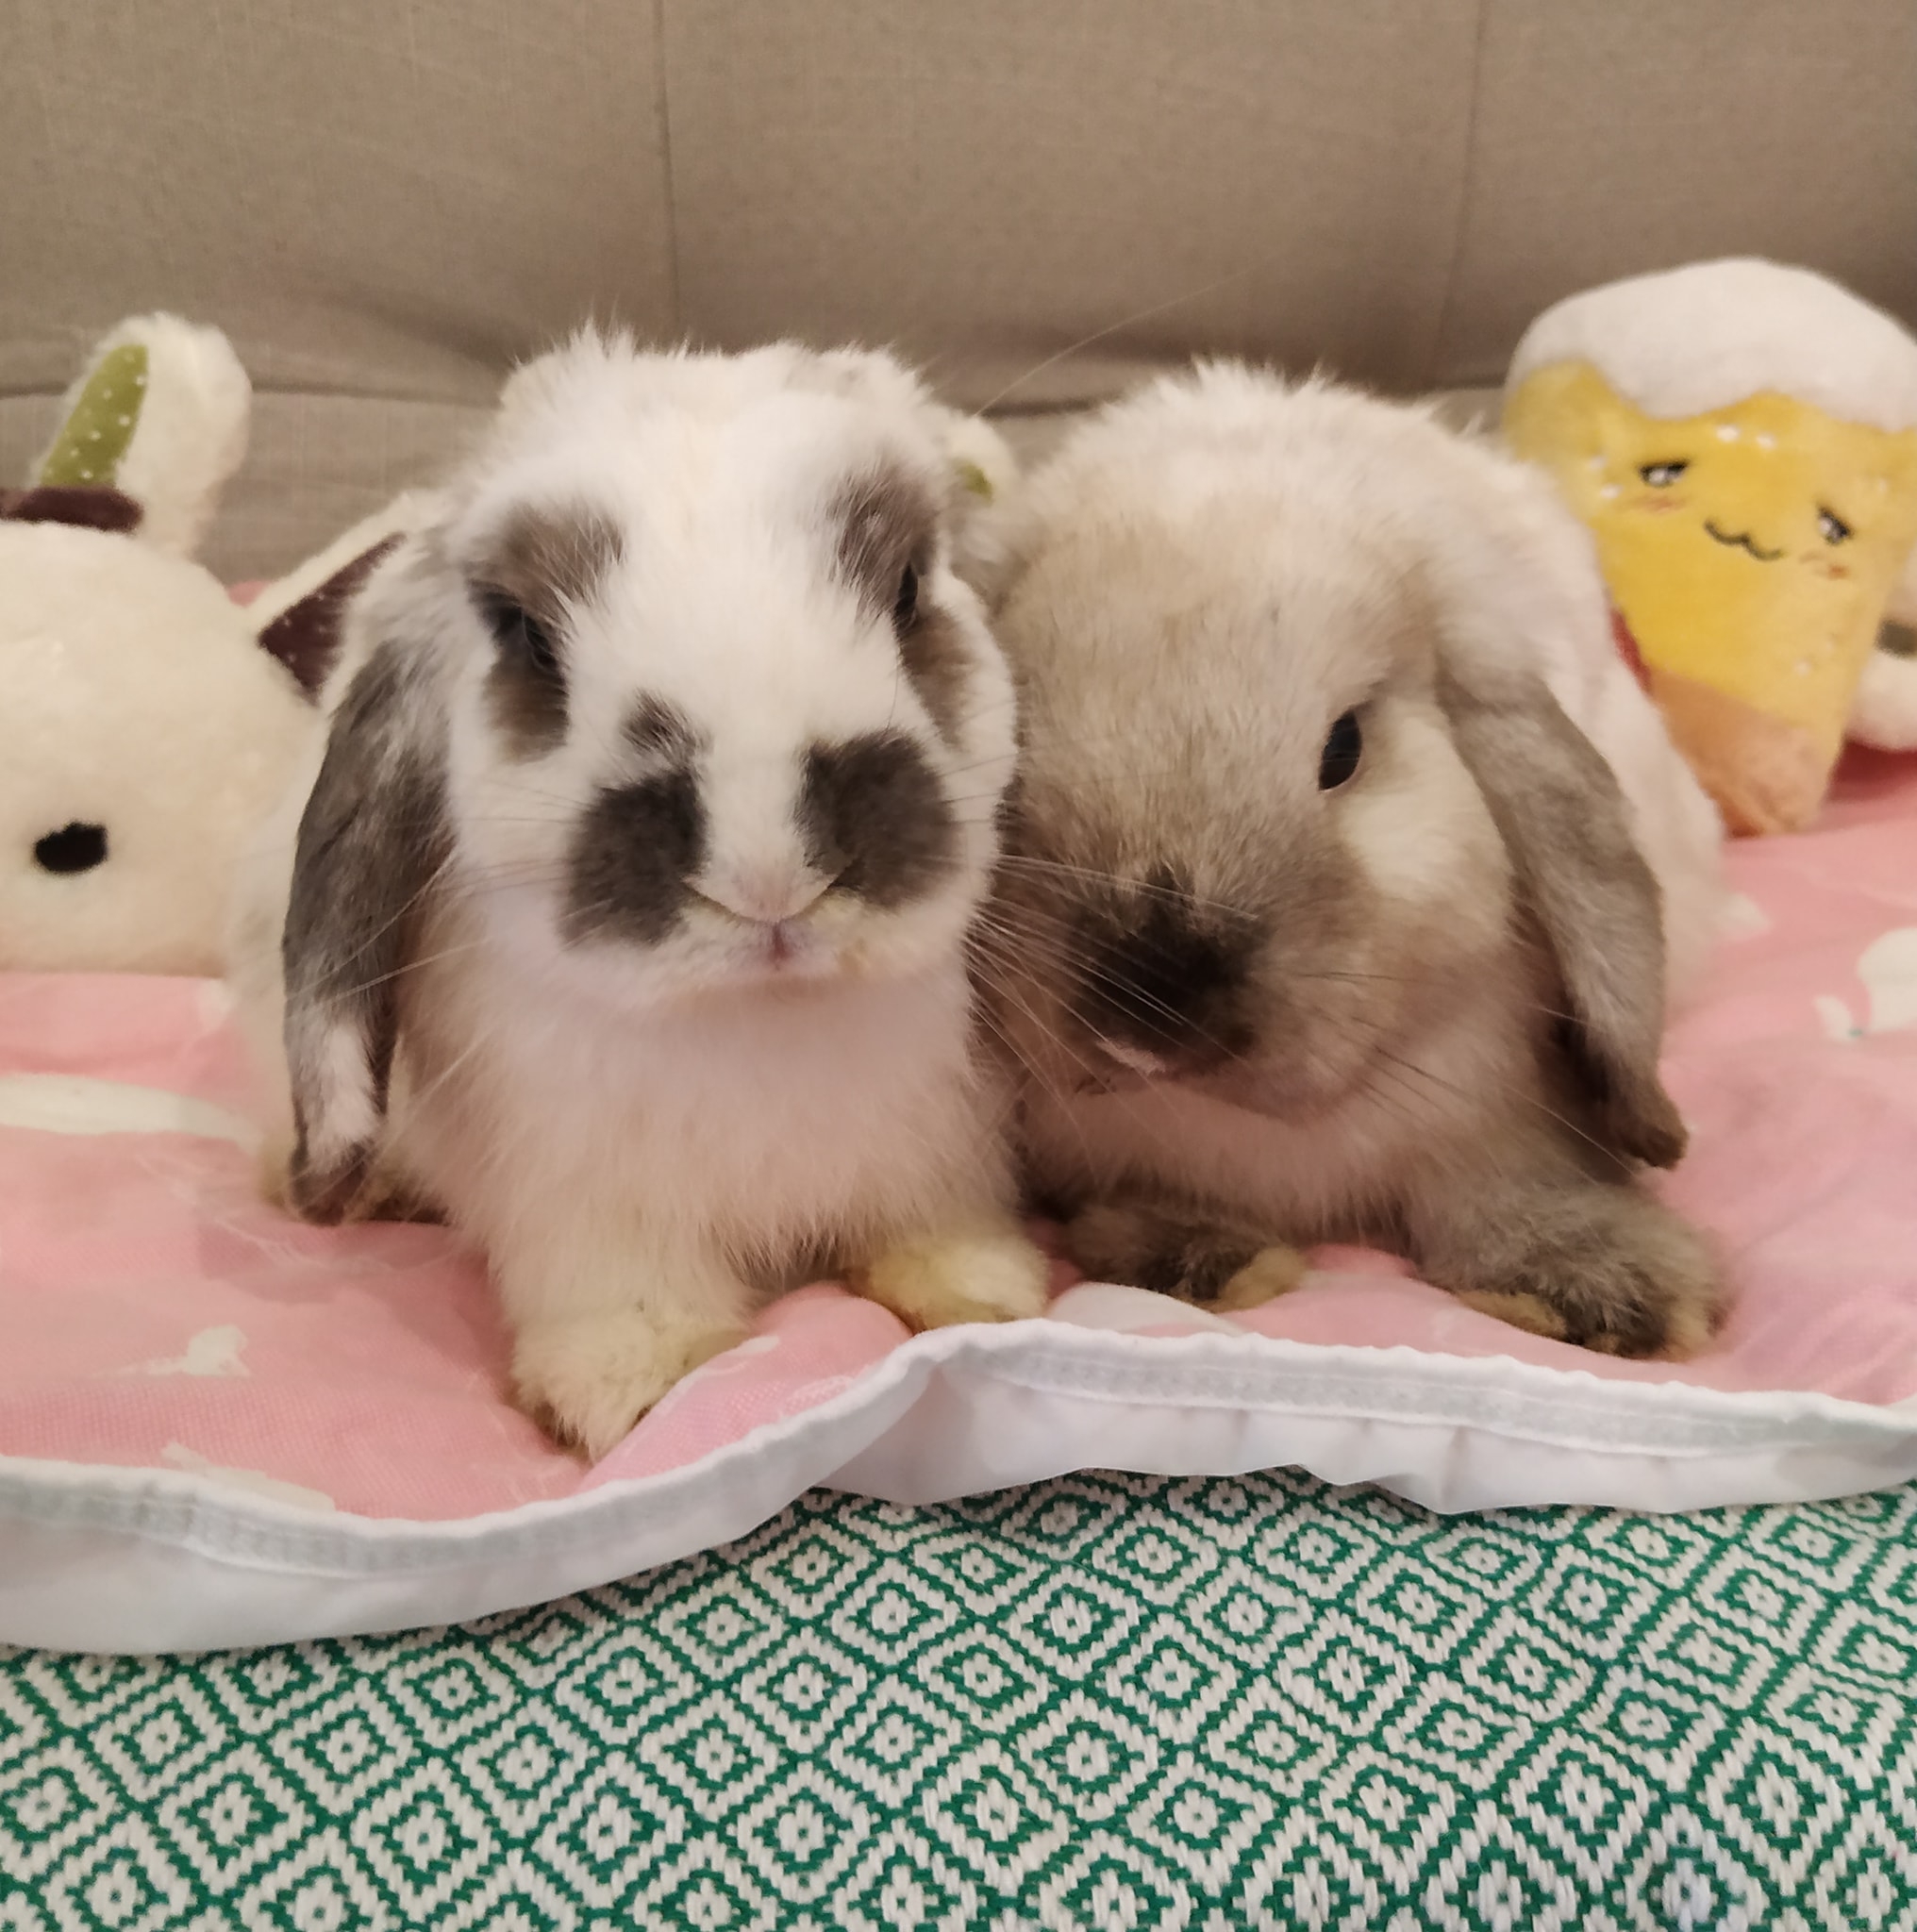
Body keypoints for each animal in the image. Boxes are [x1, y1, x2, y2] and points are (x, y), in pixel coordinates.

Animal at [230, 332, 1048, 1457]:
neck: (760, 1016)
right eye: (528, 636)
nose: (767, 874)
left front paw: (979, 1294)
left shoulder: (944, 1152)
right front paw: (634, 1383)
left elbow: (935, 1229)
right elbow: (620, 1290)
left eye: (909, 589)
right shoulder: (576, 1192)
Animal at [969, 363, 1727, 1358]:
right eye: (1017, 745)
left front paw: (1600, 1290)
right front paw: (1190, 1257)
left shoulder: (1496, 1115)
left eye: (1344, 749)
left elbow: (1504, 1186)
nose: (1149, 1012)